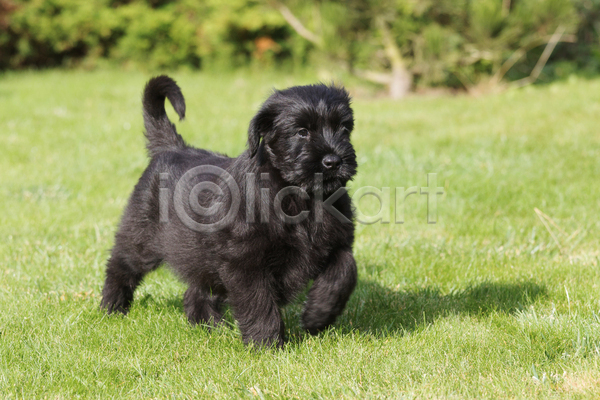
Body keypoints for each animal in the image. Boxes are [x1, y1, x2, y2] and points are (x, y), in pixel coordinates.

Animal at [101, 76, 358, 346]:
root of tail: (170, 148)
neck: (302, 197)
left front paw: (317, 314)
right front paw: (267, 344)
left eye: (343, 128)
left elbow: (344, 272)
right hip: (141, 238)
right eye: (302, 132)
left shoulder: (337, 243)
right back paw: (111, 308)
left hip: (200, 255)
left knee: (197, 291)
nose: (333, 161)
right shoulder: (245, 261)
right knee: (121, 266)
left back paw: (210, 327)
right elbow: (259, 302)